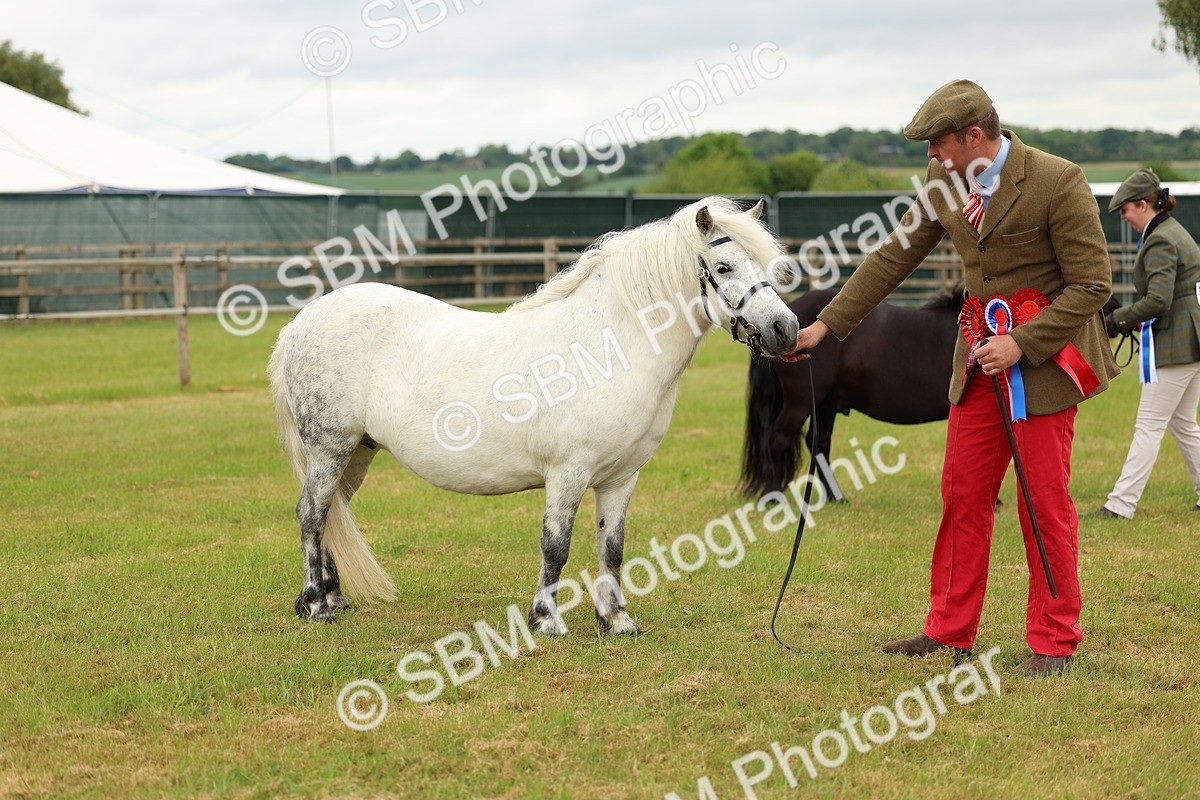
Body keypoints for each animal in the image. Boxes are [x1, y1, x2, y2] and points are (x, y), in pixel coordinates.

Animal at [268, 196, 799, 634]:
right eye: (723, 265)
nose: (786, 329)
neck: (609, 346)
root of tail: (302, 320)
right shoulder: (568, 473)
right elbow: (556, 546)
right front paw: (546, 620)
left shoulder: (621, 477)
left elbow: (612, 547)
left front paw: (616, 621)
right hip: (329, 448)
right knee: (312, 514)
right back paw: (316, 606)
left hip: (357, 451)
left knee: (333, 512)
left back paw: (334, 598)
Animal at [739, 283, 966, 500]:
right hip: (800, 402)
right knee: (775, 440)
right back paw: (773, 496)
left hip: (824, 403)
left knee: (818, 444)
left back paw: (835, 497)